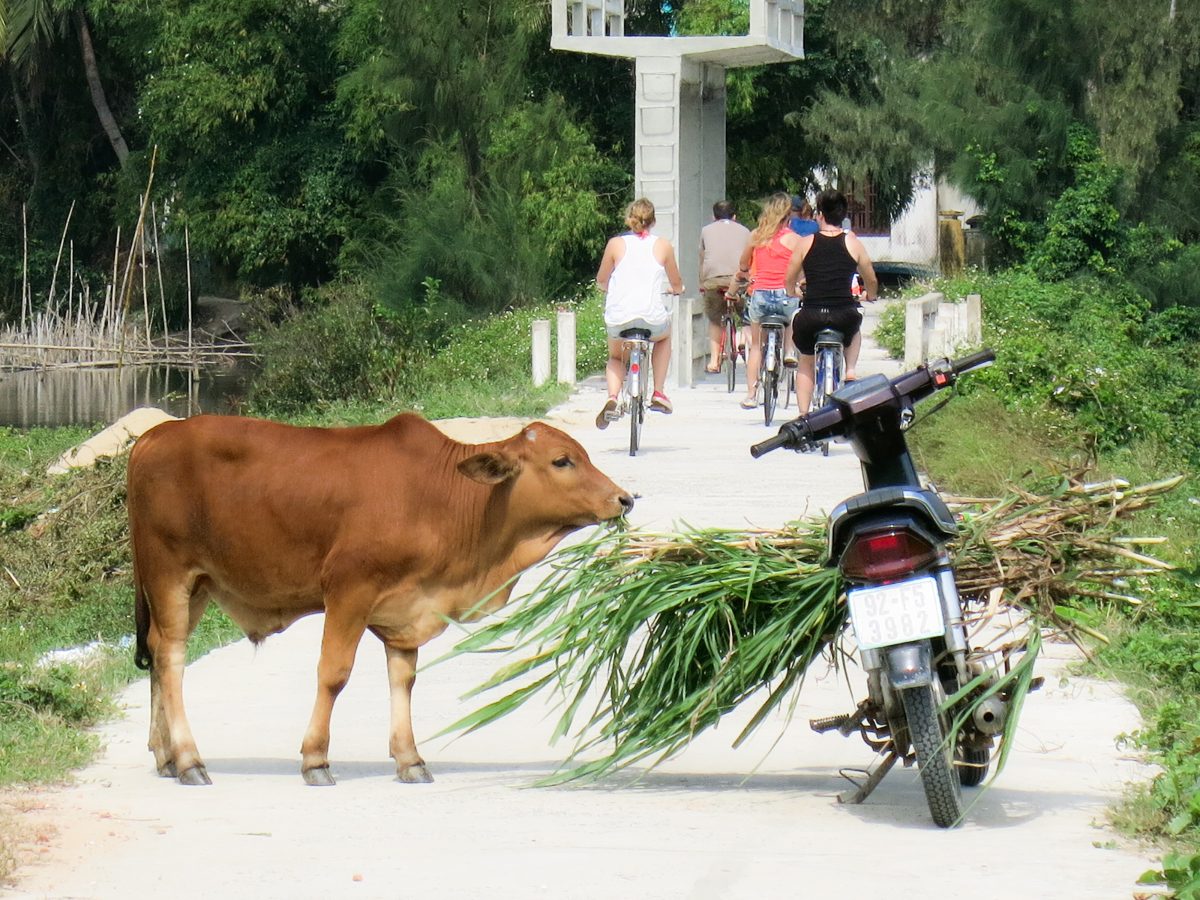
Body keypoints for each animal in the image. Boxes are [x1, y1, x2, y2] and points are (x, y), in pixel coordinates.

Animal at [126, 415, 633, 787]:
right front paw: (315, 760)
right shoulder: (348, 590)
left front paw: (410, 758)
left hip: (197, 585)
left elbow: (403, 680)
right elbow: (333, 674)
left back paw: (166, 756)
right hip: (170, 575)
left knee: (157, 651)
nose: (625, 498)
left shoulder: (407, 610)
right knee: (170, 658)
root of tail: (151, 437)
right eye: (562, 461)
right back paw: (189, 760)